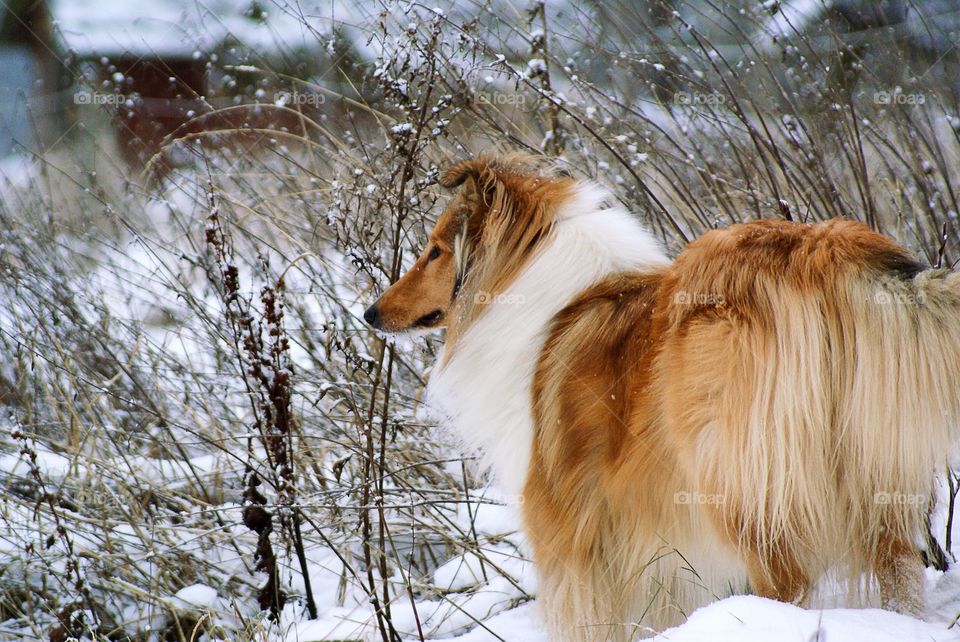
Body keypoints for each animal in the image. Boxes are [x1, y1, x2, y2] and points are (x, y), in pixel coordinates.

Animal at [362, 152, 960, 636]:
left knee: (786, 581)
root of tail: (822, 249)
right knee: (898, 569)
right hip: (873, 472)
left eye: (436, 251)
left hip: (734, 478)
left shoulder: (563, 524)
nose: (370, 312)